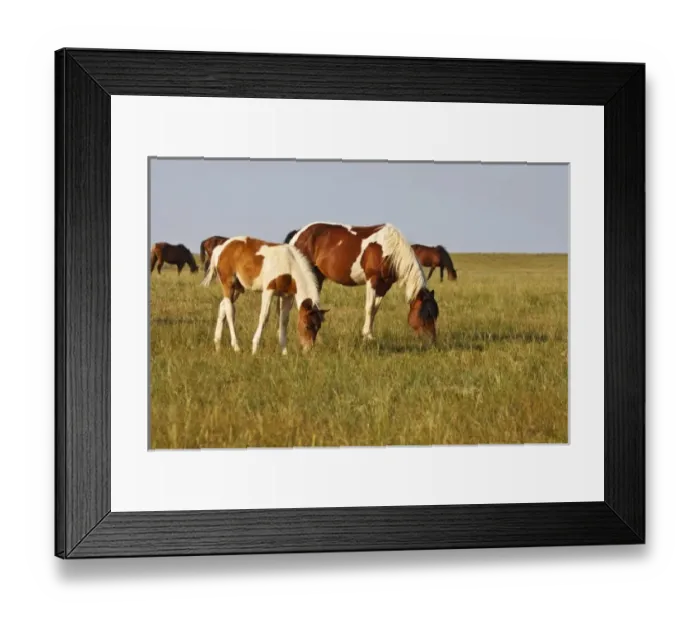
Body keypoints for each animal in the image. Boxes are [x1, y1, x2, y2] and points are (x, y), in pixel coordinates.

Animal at [200, 236, 329, 354]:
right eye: (307, 325)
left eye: (318, 327)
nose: (308, 349)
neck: (289, 265)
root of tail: (221, 248)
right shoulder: (268, 291)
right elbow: (264, 316)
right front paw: (254, 348)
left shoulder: (286, 296)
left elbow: (284, 320)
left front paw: (284, 352)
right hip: (228, 284)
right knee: (229, 310)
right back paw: (236, 347)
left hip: (237, 288)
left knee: (222, 306)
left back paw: (217, 345)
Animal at [285, 222, 439, 343]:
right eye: (426, 314)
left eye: (435, 315)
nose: (431, 341)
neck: (389, 249)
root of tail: (298, 233)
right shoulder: (372, 280)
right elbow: (369, 307)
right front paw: (367, 335)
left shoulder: (384, 285)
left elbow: (375, 309)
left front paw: (369, 334)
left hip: (318, 276)